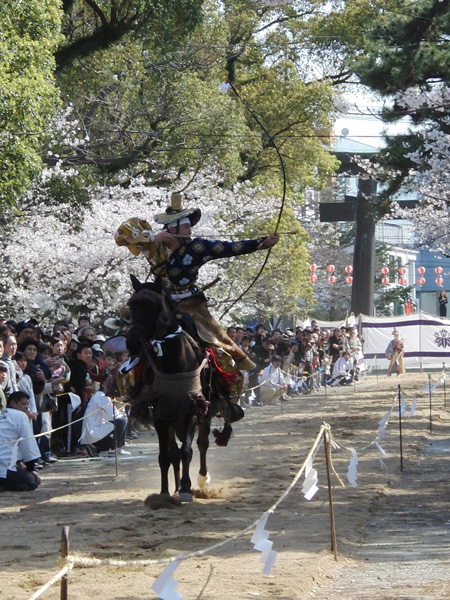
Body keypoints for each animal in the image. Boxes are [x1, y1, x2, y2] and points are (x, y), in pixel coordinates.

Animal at [124, 276, 236, 502]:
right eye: (132, 305)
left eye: (156, 306)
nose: (133, 343)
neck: (173, 361)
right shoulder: (161, 413)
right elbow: (166, 455)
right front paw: (165, 492)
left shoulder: (192, 408)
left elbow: (187, 450)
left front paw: (186, 488)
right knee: (174, 451)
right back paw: (175, 488)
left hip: (203, 412)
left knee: (202, 444)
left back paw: (201, 480)